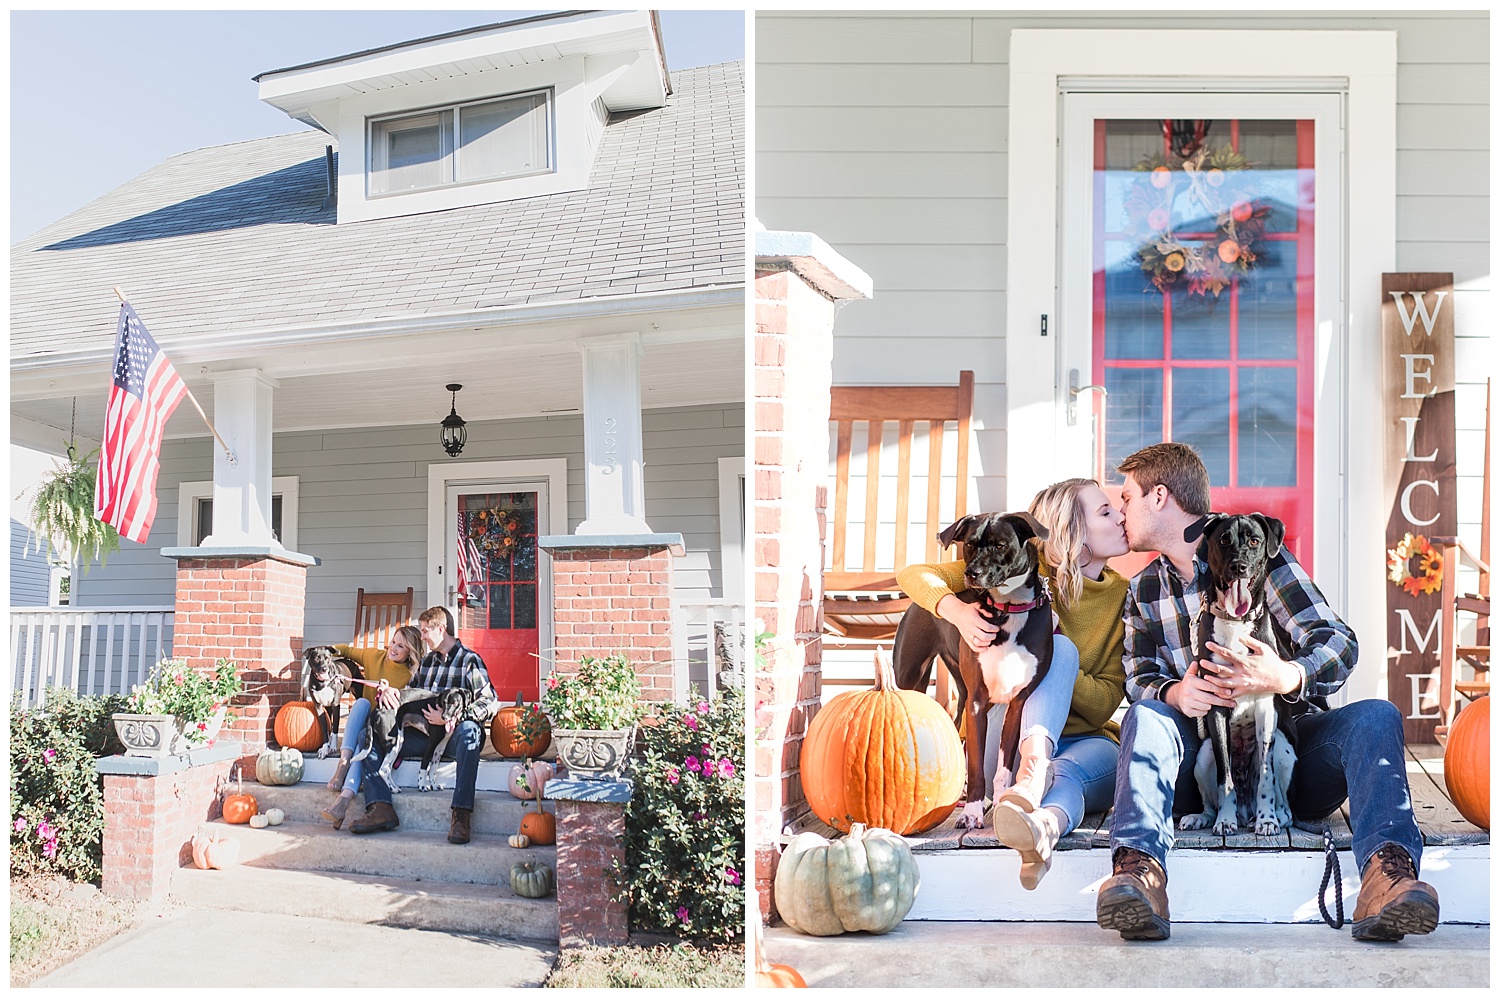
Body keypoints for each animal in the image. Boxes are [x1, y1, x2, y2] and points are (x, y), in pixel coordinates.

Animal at [1182, 513, 1302, 834]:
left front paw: (1267, 820)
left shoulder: (1265, 709)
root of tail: (1245, 811)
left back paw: (1274, 817)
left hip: (1285, 749)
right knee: (1213, 795)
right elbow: (1225, 781)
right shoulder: (1215, 707)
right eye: (1224, 540)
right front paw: (1224, 821)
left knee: (1283, 799)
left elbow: (1266, 779)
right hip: (1203, 756)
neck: (1236, 622)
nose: (1239, 566)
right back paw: (1205, 817)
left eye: (1254, 540)